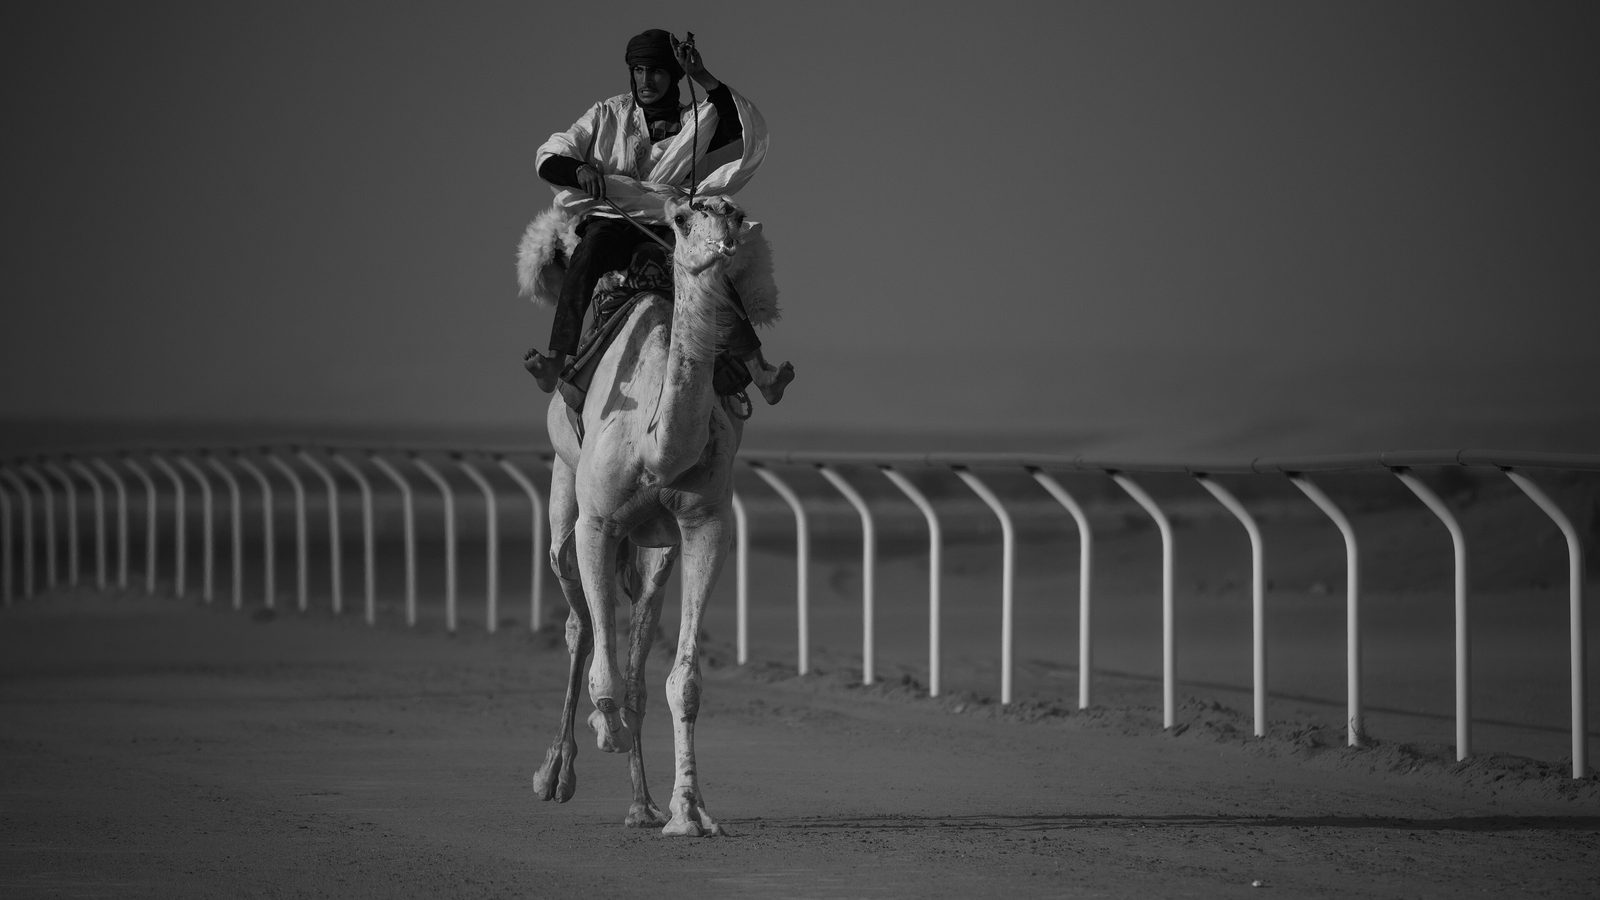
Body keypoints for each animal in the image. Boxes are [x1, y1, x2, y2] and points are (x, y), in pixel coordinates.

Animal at [532, 195, 758, 837]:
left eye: (734, 209)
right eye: (683, 218)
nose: (724, 230)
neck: (656, 442)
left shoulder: (706, 524)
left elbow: (683, 681)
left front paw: (690, 813)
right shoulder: (598, 523)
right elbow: (601, 664)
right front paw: (603, 729)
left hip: (655, 543)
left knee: (635, 645)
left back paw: (642, 803)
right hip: (565, 498)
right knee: (579, 623)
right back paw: (555, 775)